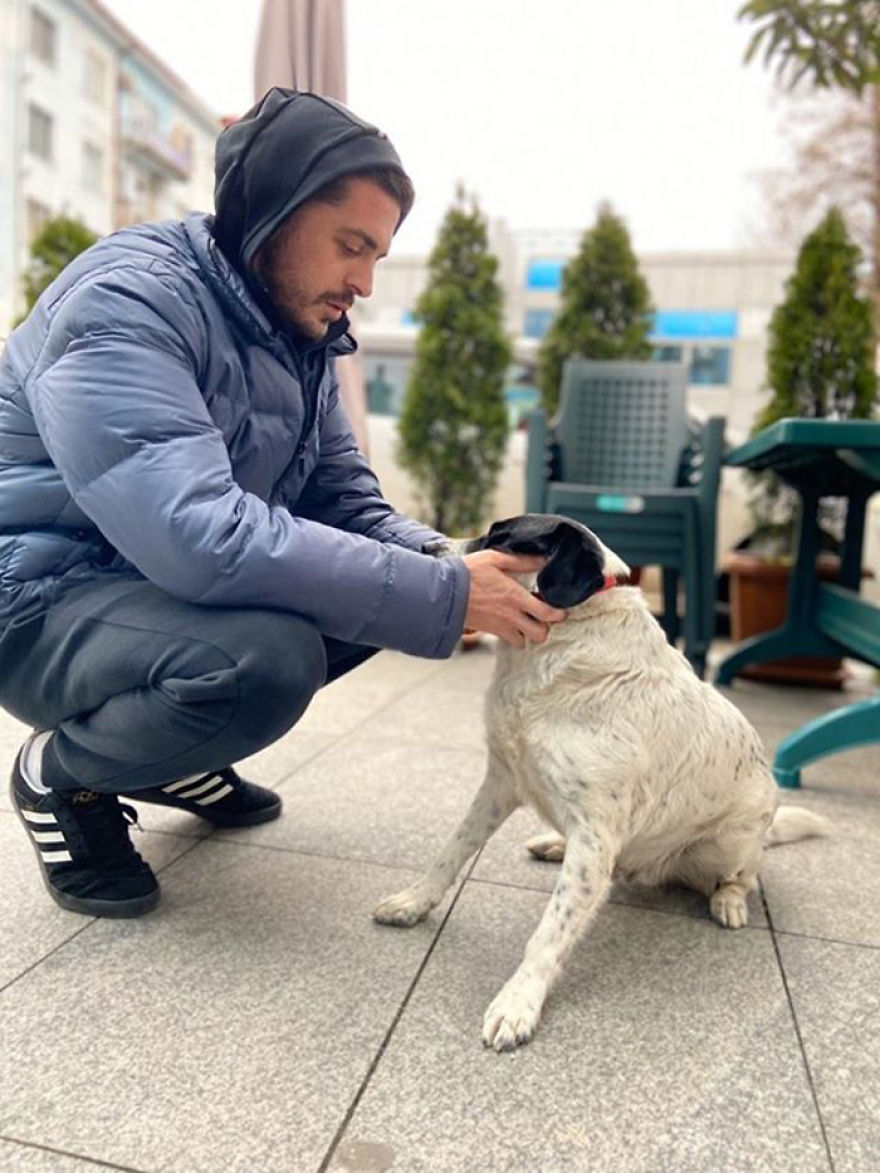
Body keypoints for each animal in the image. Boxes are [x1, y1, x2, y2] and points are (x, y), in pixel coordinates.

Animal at [373, 513, 835, 1055]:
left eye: (500, 537)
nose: (427, 547)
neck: (560, 643)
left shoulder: (594, 835)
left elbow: (549, 932)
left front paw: (518, 1002)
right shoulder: (501, 781)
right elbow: (451, 852)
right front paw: (413, 903)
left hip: (730, 845)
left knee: (746, 876)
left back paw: (728, 900)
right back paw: (553, 844)